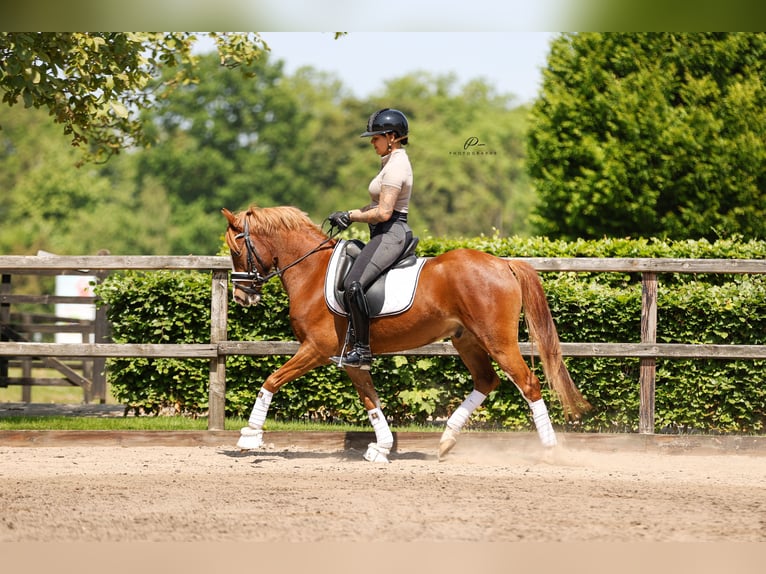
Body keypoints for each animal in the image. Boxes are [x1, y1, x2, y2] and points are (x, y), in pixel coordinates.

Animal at [222, 205, 592, 466]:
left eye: (236, 251)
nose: (242, 297)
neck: (311, 272)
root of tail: (503, 263)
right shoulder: (350, 358)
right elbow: (371, 401)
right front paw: (382, 448)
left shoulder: (315, 349)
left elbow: (271, 381)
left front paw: (249, 435)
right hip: (466, 340)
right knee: (487, 381)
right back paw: (446, 441)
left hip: (496, 341)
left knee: (527, 383)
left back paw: (550, 451)